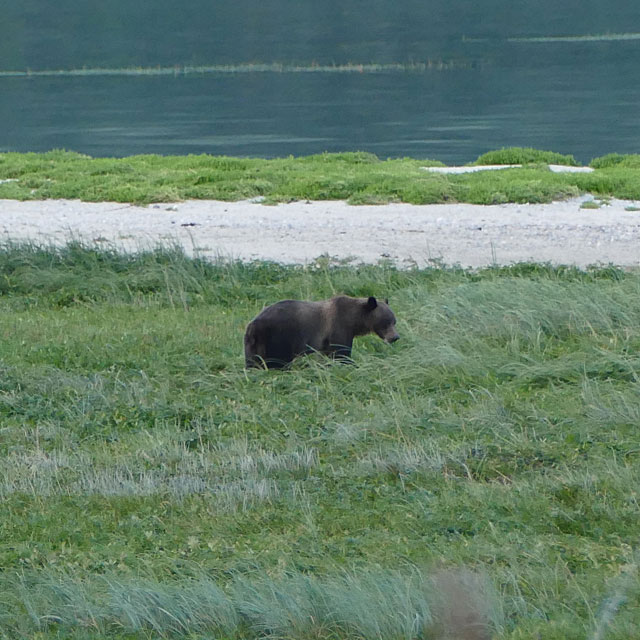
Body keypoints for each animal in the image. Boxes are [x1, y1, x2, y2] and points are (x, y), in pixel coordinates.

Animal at [245, 296, 400, 370]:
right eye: (386, 322)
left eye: (394, 321)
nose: (395, 337)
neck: (354, 320)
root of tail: (254, 324)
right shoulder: (338, 327)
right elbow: (342, 354)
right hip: (279, 337)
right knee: (277, 360)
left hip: (254, 343)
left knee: (253, 361)